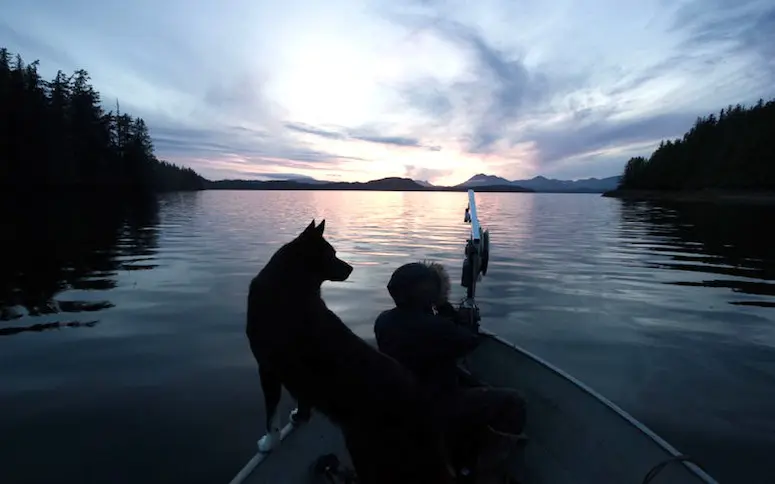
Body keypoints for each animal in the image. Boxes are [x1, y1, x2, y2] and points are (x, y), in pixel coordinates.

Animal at [249, 220, 454, 484]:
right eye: (331, 254)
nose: (351, 268)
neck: (289, 286)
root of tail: (424, 402)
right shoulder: (297, 376)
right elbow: (302, 400)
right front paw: (299, 417)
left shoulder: (267, 367)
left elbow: (271, 415)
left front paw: (269, 442)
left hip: (365, 447)